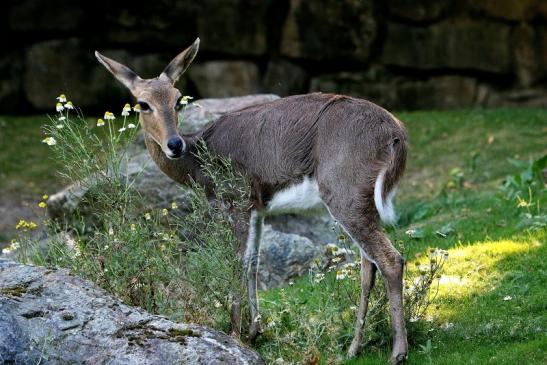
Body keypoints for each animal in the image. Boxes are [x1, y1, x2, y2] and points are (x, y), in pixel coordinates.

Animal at [96, 38, 408, 362]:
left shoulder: (237, 198)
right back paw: (353, 348)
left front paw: (234, 333)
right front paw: (255, 330)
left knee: (389, 258)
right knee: (368, 264)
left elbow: (237, 262)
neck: (200, 160)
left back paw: (397, 352)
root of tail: (396, 133)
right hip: (359, 199)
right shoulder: (258, 207)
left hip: (343, 192)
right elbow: (254, 262)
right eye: (143, 104)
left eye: (178, 99)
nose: (174, 144)